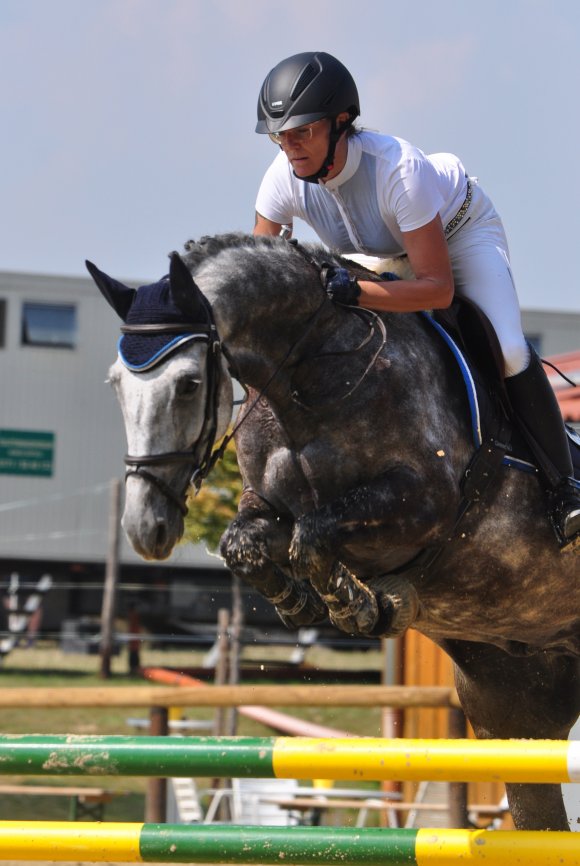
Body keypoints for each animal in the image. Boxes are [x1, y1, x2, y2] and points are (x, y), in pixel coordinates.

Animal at [88, 231, 576, 832]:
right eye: (115, 385)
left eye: (188, 384)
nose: (146, 527)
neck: (313, 377)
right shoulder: (268, 506)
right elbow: (247, 543)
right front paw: (301, 602)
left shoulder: (423, 505)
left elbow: (315, 537)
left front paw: (360, 605)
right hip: (513, 701)